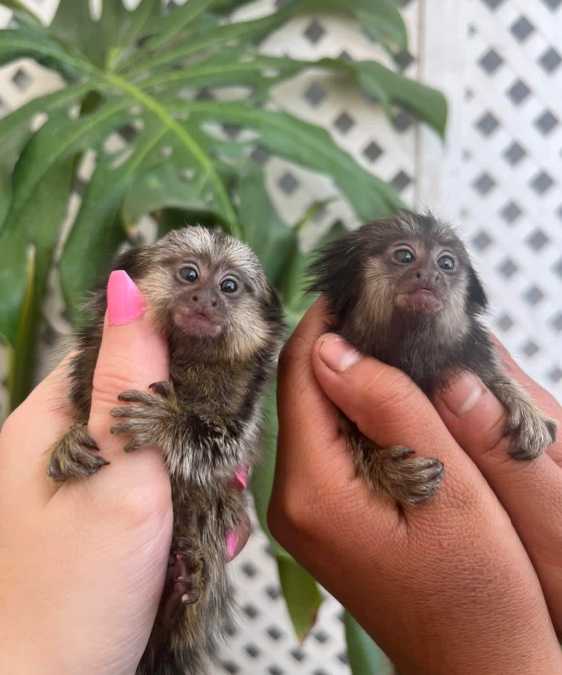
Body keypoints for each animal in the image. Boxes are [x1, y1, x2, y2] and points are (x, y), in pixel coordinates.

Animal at [47, 226, 285, 675]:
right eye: (190, 275)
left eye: (229, 287)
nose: (206, 299)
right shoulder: (87, 363)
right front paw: (68, 441)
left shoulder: (243, 408)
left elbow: (217, 449)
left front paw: (166, 423)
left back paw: (181, 594)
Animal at [309, 211, 556, 506]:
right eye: (405, 256)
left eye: (446, 263)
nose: (430, 274)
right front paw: (388, 469)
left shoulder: (473, 353)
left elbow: (496, 377)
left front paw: (523, 407)